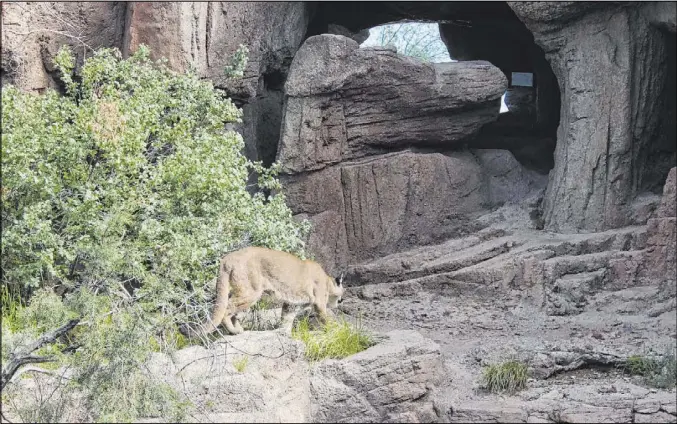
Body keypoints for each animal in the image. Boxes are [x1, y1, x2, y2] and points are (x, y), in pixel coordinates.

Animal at [180, 245, 344, 338]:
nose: (341, 300)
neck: (327, 279)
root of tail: (226, 259)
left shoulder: (291, 304)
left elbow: (287, 318)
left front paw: (284, 333)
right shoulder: (319, 302)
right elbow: (324, 317)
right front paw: (334, 329)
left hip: (241, 290)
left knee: (233, 311)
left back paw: (238, 329)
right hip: (251, 292)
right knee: (228, 308)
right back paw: (234, 331)